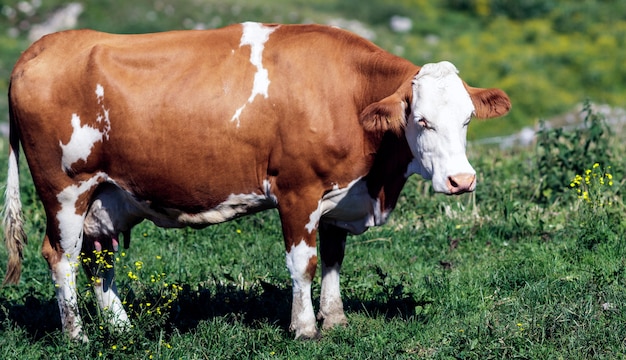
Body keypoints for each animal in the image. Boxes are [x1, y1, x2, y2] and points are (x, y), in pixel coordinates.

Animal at [2, 22, 508, 340]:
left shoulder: (340, 195)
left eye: (467, 119)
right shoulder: (297, 190)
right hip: (64, 191)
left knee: (98, 262)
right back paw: (78, 337)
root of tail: (42, 47)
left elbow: (333, 259)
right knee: (62, 259)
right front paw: (305, 328)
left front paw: (335, 320)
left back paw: (122, 330)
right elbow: (303, 263)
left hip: (104, 196)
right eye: (421, 120)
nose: (461, 180)